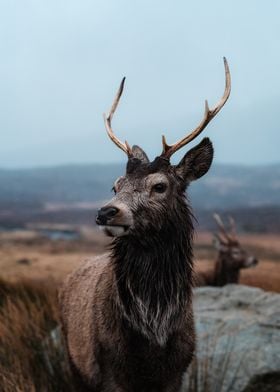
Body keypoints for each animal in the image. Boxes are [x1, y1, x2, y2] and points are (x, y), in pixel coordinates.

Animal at [58, 59, 230, 392]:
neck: (153, 337)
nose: (106, 212)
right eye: (115, 185)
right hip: (72, 361)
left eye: (160, 186)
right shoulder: (108, 371)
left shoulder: (177, 372)